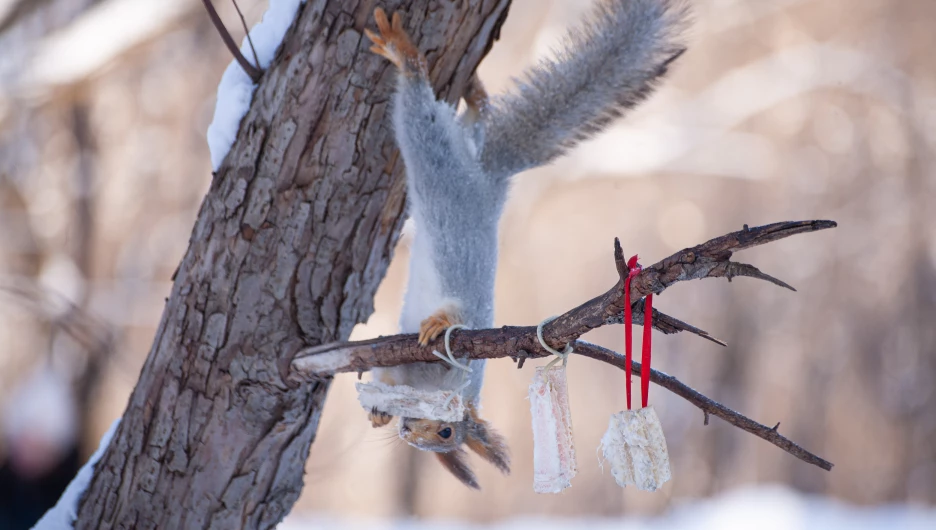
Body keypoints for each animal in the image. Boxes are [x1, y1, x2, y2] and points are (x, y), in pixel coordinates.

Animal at [364, 0, 688, 486]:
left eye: (446, 434)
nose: (408, 434)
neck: (427, 386)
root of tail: (490, 177)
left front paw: (385, 404)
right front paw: (386, 402)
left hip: (450, 156)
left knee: (448, 115)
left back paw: (442, 75)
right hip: (440, 166)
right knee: (432, 112)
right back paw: (421, 62)